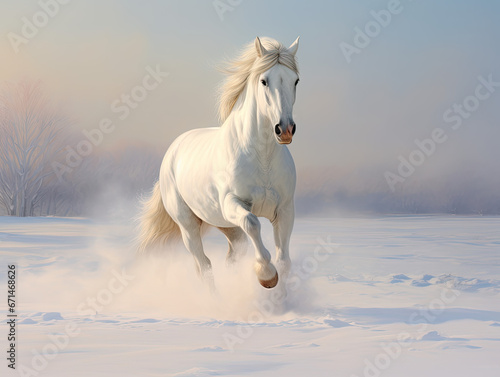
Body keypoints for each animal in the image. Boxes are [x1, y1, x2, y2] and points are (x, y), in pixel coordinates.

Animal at [138, 36, 300, 290]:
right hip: (188, 225)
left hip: (226, 225)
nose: (284, 130)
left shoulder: (284, 210)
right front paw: (266, 275)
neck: (262, 158)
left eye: (296, 80)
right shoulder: (233, 203)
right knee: (203, 265)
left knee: (231, 256)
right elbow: (253, 223)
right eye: (264, 81)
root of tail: (173, 149)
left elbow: (284, 260)